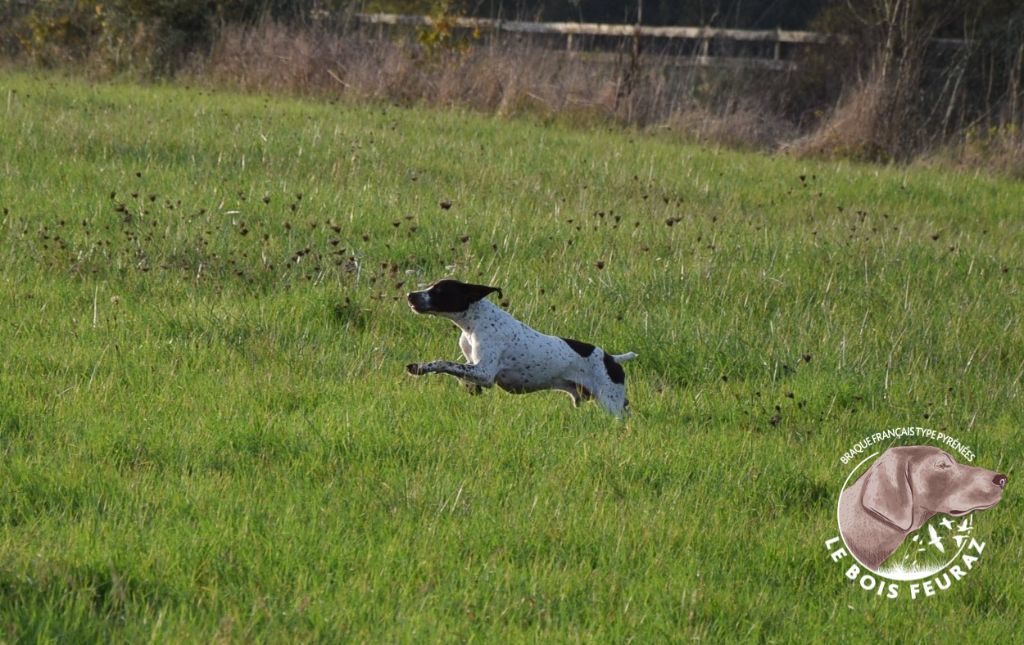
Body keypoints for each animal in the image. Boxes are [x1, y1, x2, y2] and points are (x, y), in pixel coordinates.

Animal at [403, 280, 634, 417]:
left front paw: (420, 367)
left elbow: (444, 363)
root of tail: (613, 359)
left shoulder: (484, 372)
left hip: (610, 403)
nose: (410, 295)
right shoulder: (472, 365)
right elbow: (459, 373)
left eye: (440, 290)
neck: (474, 323)